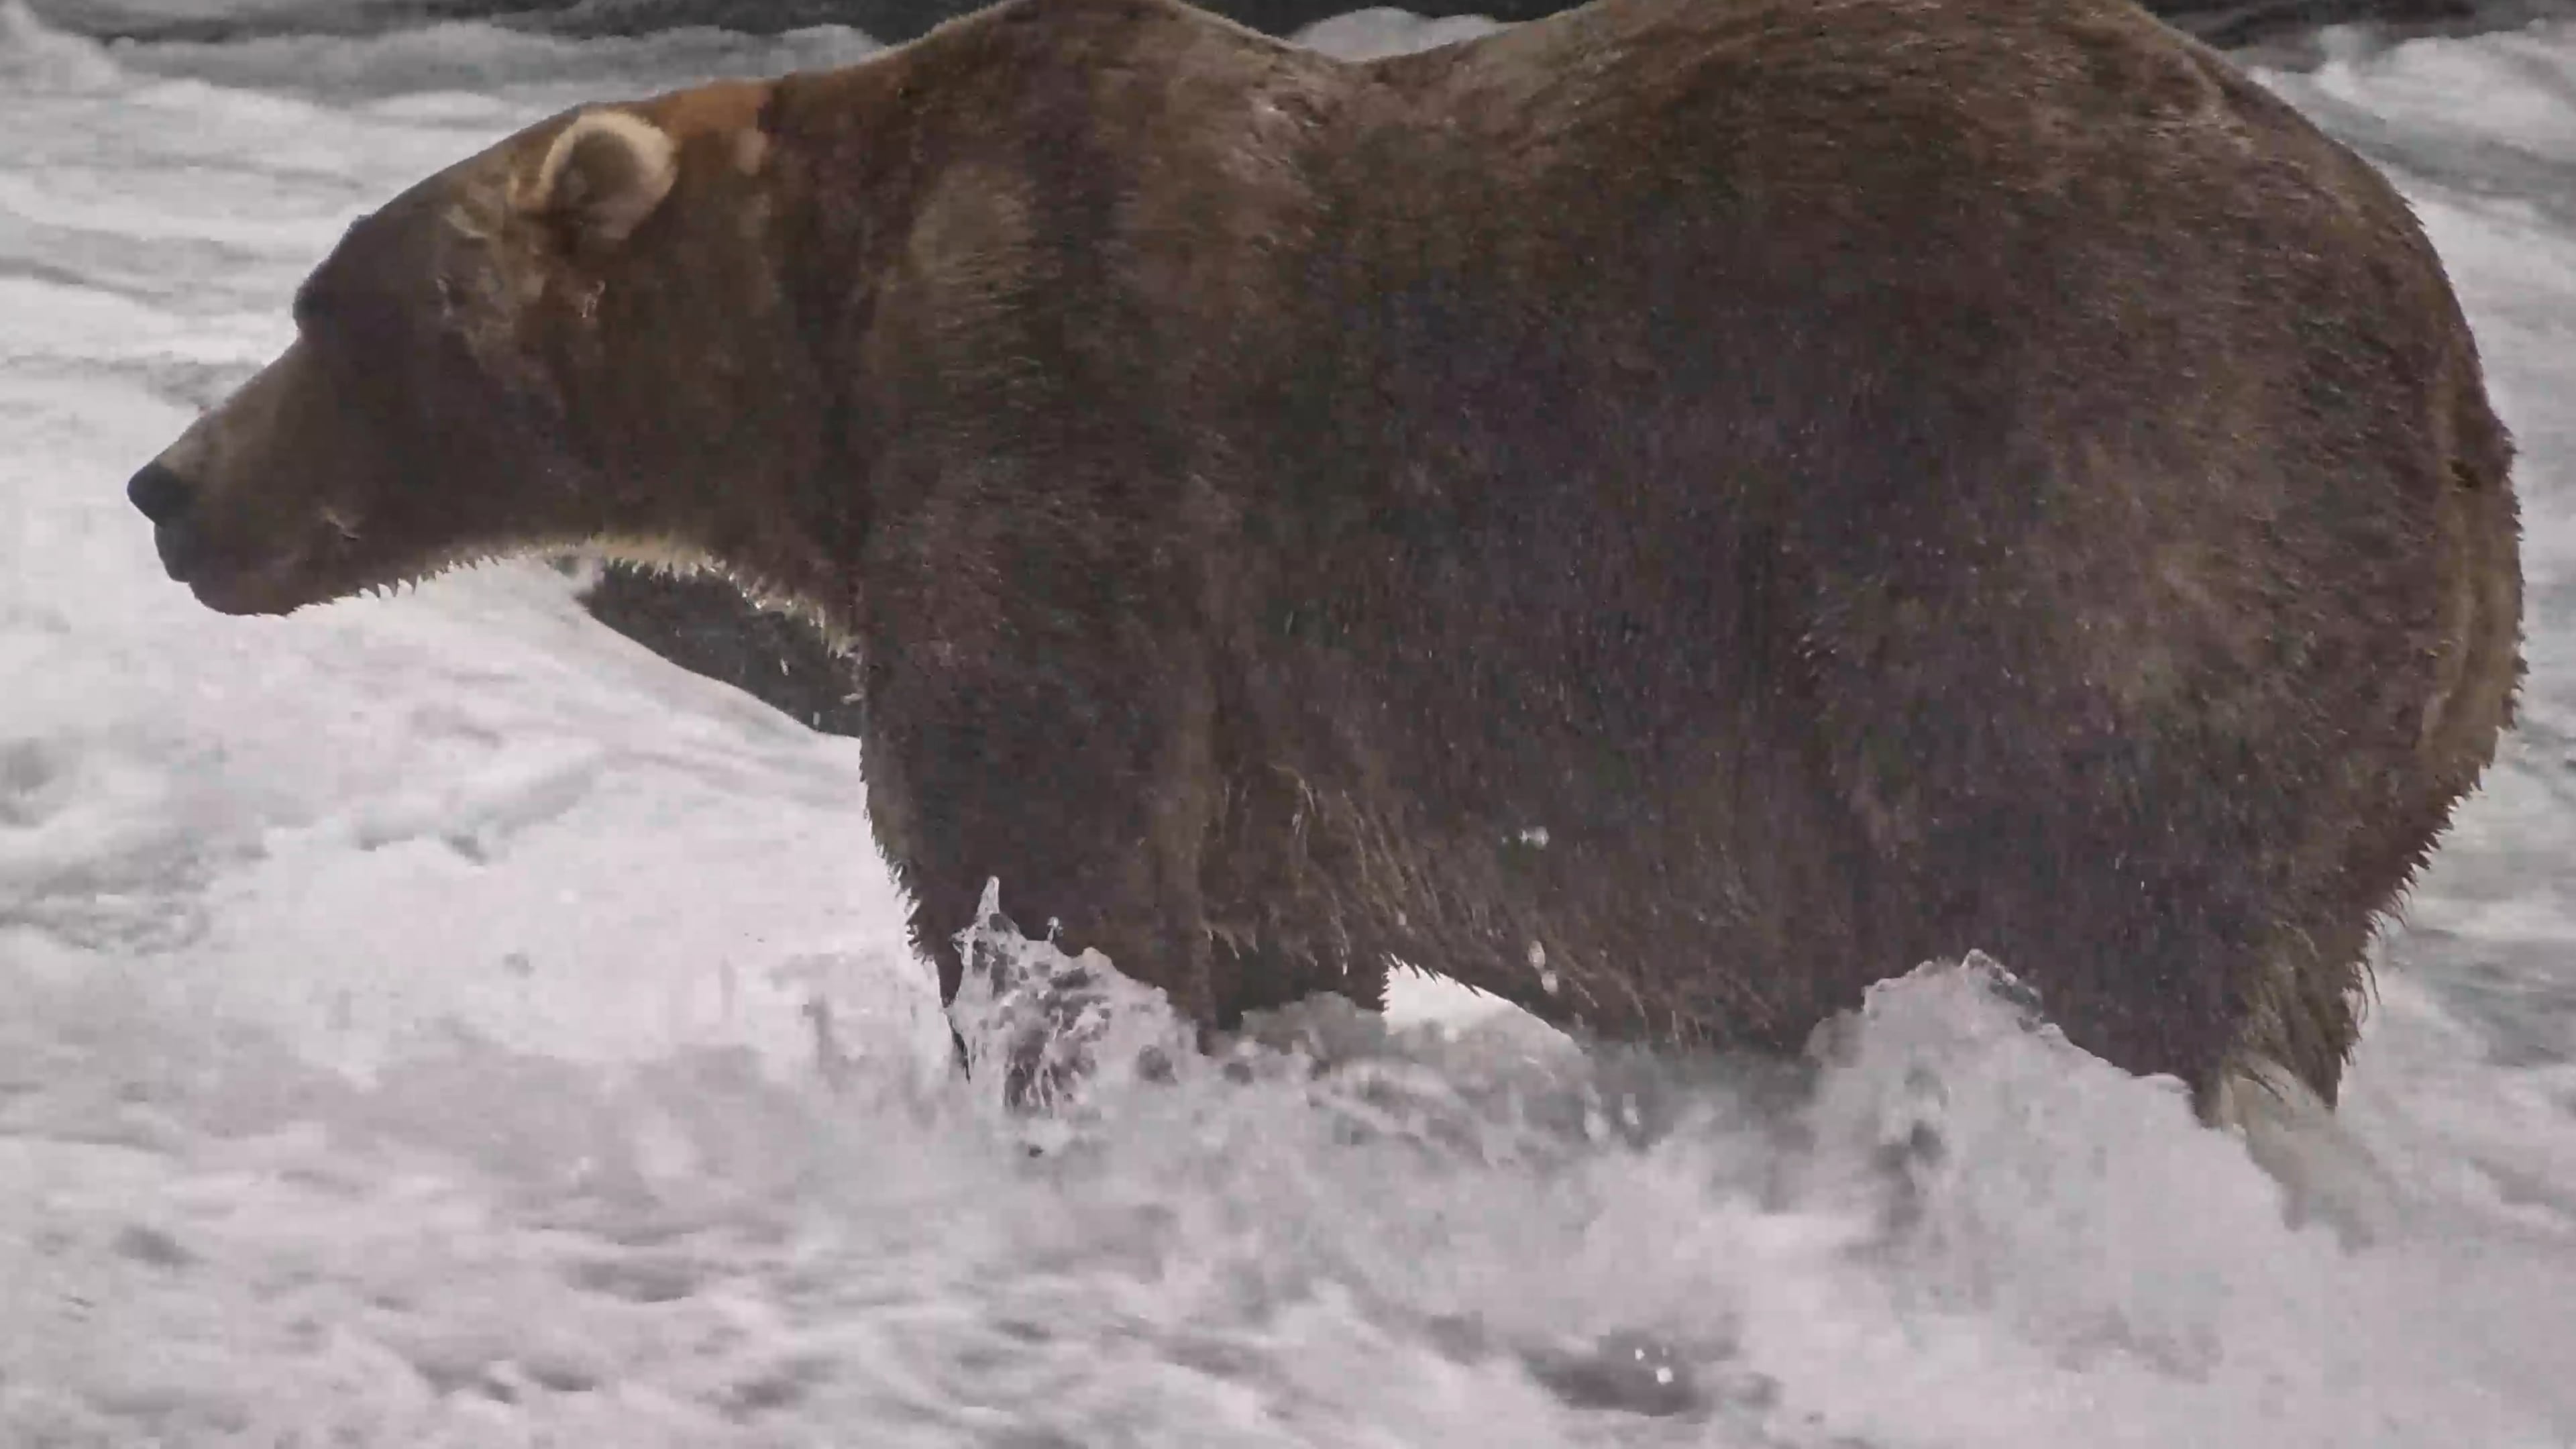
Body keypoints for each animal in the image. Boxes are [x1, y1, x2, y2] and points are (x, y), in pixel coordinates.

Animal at [125, 0, 2521, 1119]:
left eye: (331, 310)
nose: (165, 487)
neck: (823, 345)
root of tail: (2454, 385)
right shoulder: (1269, 710)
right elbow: (1264, 921)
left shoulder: (1062, 431)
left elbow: (1042, 850)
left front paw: (1052, 1066)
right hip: (2385, 728)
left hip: (2089, 510)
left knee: (2080, 885)